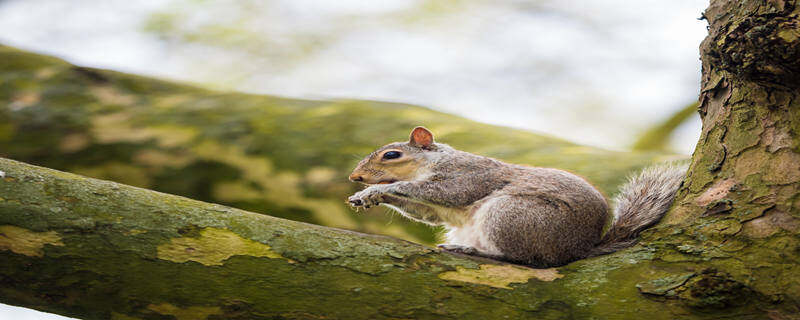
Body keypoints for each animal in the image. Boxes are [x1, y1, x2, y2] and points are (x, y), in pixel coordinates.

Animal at [346, 126, 688, 266]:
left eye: (392, 155)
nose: (355, 178)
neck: (430, 163)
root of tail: (578, 250)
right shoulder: (437, 210)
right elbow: (426, 211)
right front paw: (366, 197)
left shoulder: (470, 175)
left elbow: (444, 192)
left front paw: (376, 190)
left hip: (509, 215)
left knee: (525, 260)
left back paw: (473, 251)